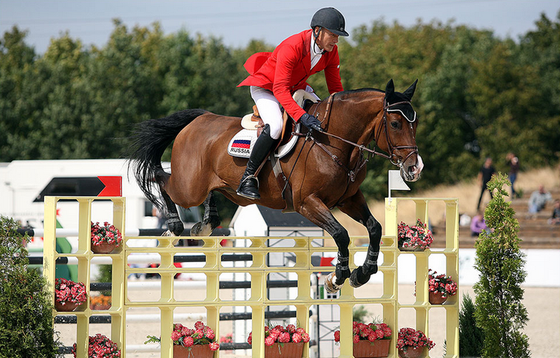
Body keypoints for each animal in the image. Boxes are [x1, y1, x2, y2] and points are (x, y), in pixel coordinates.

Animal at [129, 79, 422, 292]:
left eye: (415, 122)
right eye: (395, 123)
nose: (414, 168)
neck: (333, 142)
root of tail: (197, 120)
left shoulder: (348, 199)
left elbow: (374, 228)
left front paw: (363, 273)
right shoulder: (307, 203)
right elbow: (341, 234)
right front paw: (337, 277)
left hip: (216, 185)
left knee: (210, 192)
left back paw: (206, 223)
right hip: (189, 187)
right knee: (161, 179)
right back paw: (174, 226)